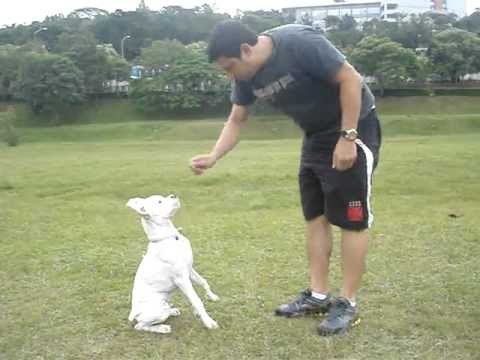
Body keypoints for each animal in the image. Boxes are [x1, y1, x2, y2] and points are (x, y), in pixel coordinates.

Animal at [126, 195, 218, 334]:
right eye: (159, 201)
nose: (173, 195)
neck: (169, 238)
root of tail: (133, 314)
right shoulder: (181, 279)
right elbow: (196, 301)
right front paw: (209, 322)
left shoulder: (189, 269)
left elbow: (203, 282)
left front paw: (211, 296)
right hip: (157, 311)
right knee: (140, 326)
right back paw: (162, 328)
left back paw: (172, 311)